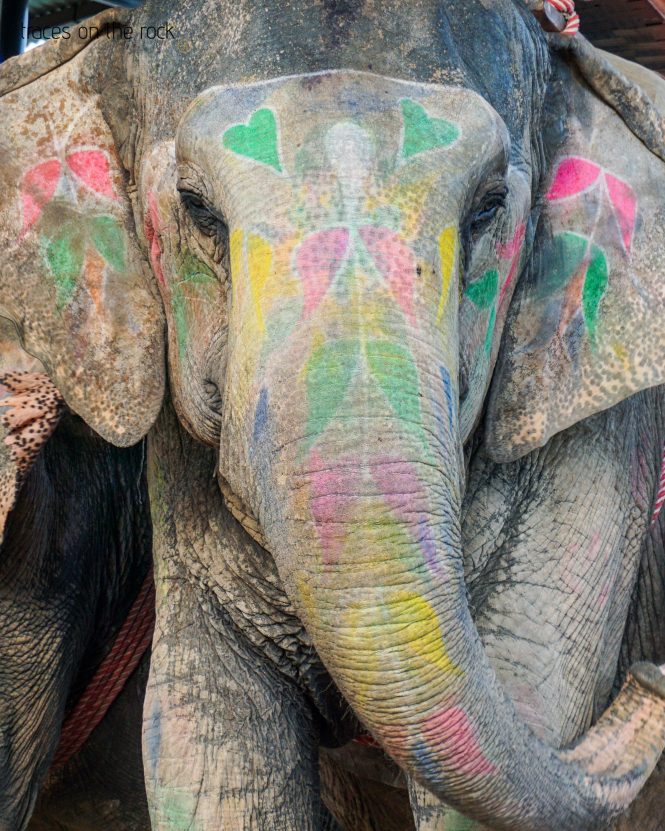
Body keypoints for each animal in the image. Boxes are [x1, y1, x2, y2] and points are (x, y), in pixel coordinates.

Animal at [3, 0, 665, 829]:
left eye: (487, 207)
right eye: (197, 208)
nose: (650, 676)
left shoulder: (587, 422)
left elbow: (527, 703)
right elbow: (206, 734)